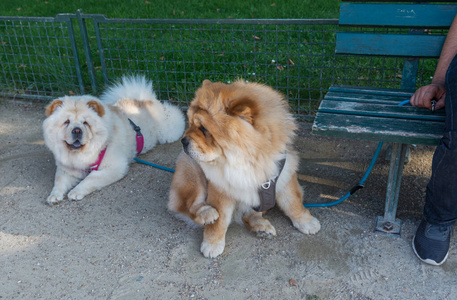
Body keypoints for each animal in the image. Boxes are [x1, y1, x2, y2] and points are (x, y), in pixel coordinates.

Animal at [167, 79, 320, 258]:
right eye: (190, 124)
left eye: (204, 129)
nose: (183, 141)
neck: (247, 160)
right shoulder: (221, 189)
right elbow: (219, 222)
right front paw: (212, 244)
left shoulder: (284, 174)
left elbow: (294, 203)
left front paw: (307, 222)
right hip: (192, 174)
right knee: (188, 205)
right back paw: (207, 213)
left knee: (250, 213)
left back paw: (261, 226)